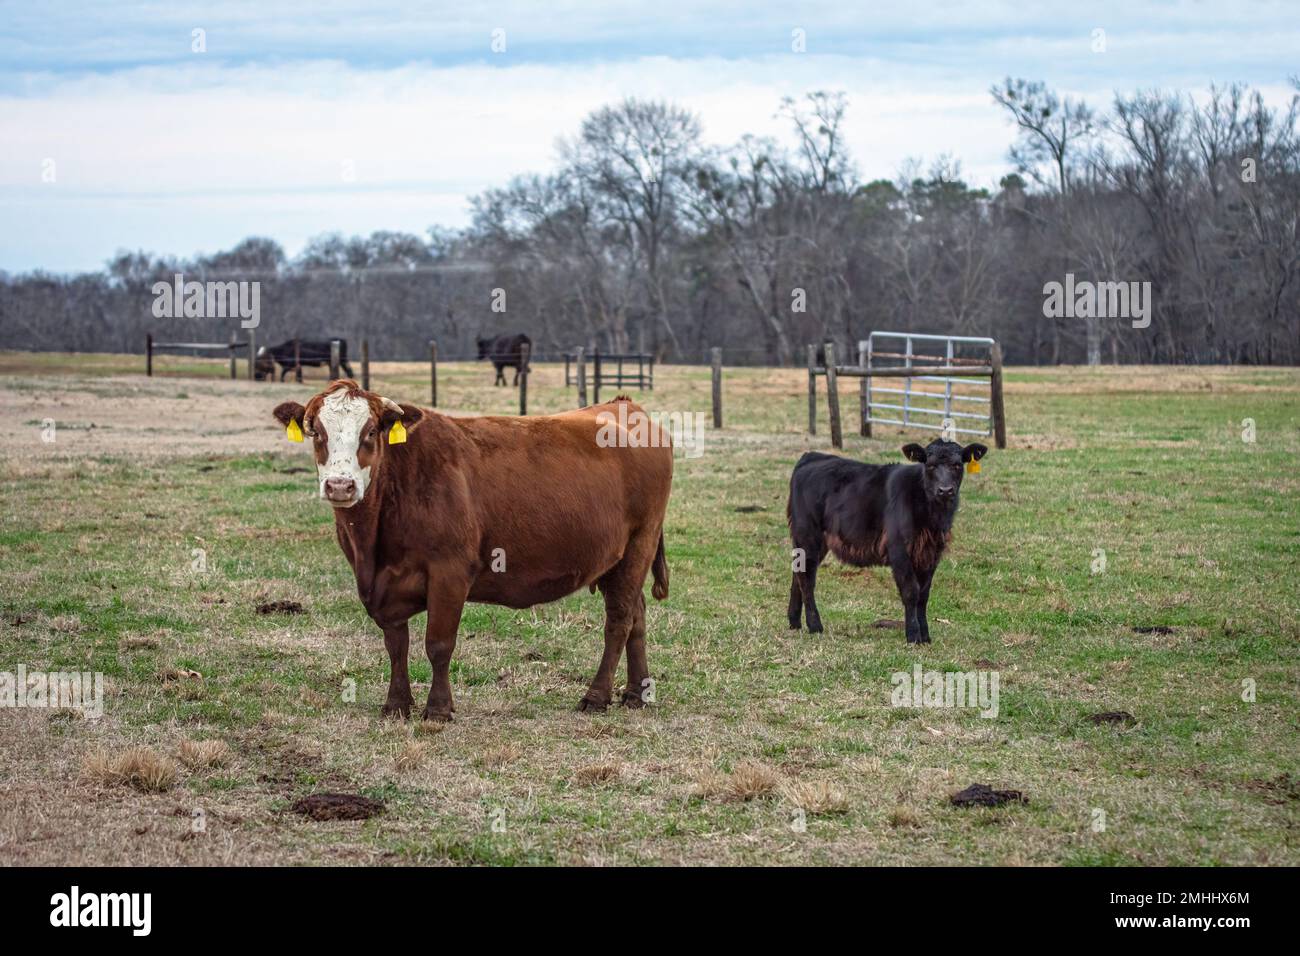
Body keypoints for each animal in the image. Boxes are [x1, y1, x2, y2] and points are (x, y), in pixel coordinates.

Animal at [271, 380, 672, 721]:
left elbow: (438, 643)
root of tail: (624, 405)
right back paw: (636, 693)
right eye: (316, 432)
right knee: (637, 614)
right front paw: (397, 704)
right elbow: (396, 644)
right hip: (615, 560)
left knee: (619, 621)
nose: (340, 485)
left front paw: (438, 709)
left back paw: (597, 696)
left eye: (369, 432)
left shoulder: (449, 571)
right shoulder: (385, 586)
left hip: (640, 542)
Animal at [786, 438, 988, 644]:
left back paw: (795, 622)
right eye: (930, 465)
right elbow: (911, 592)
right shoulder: (898, 549)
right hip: (808, 533)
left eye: (957, 465)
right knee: (807, 579)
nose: (945, 490)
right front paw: (913, 635)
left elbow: (923, 595)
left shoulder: (931, 553)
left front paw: (925, 636)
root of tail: (811, 456)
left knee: (798, 573)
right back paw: (815, 625)